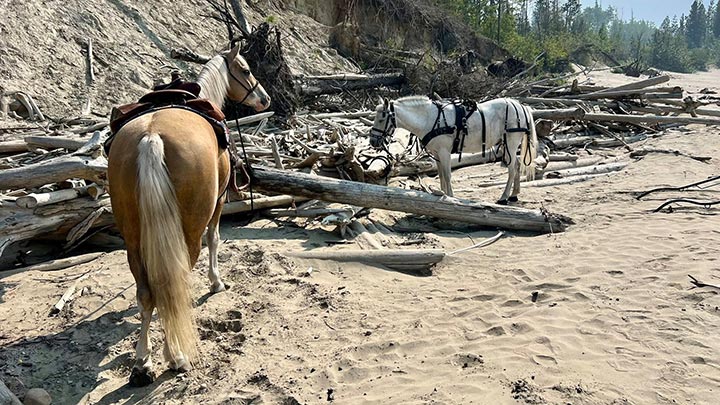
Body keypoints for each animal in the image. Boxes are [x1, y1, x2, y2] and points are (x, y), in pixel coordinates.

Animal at [107, 43, 270, 387]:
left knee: (148, 293)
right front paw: (216, 282)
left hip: (133, 239)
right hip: (188, 231)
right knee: (173, 285)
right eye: (246, 69)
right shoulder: (219, 202)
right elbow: (215, 238)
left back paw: (143, 362)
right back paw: (176, 356)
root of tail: (151, 137)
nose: (264, 99)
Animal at [369, 96, 537, 204]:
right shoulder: (437, 154)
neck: (429, 119)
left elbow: (448, 176)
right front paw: (442, 195)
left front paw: (450, 197)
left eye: (382, 118)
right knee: (516, 165)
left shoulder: (444, 152)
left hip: (511, 143)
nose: (373, 141)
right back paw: (514, 195)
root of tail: (521, 106)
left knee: (512, 170)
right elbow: (442, 176)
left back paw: (503, 197)